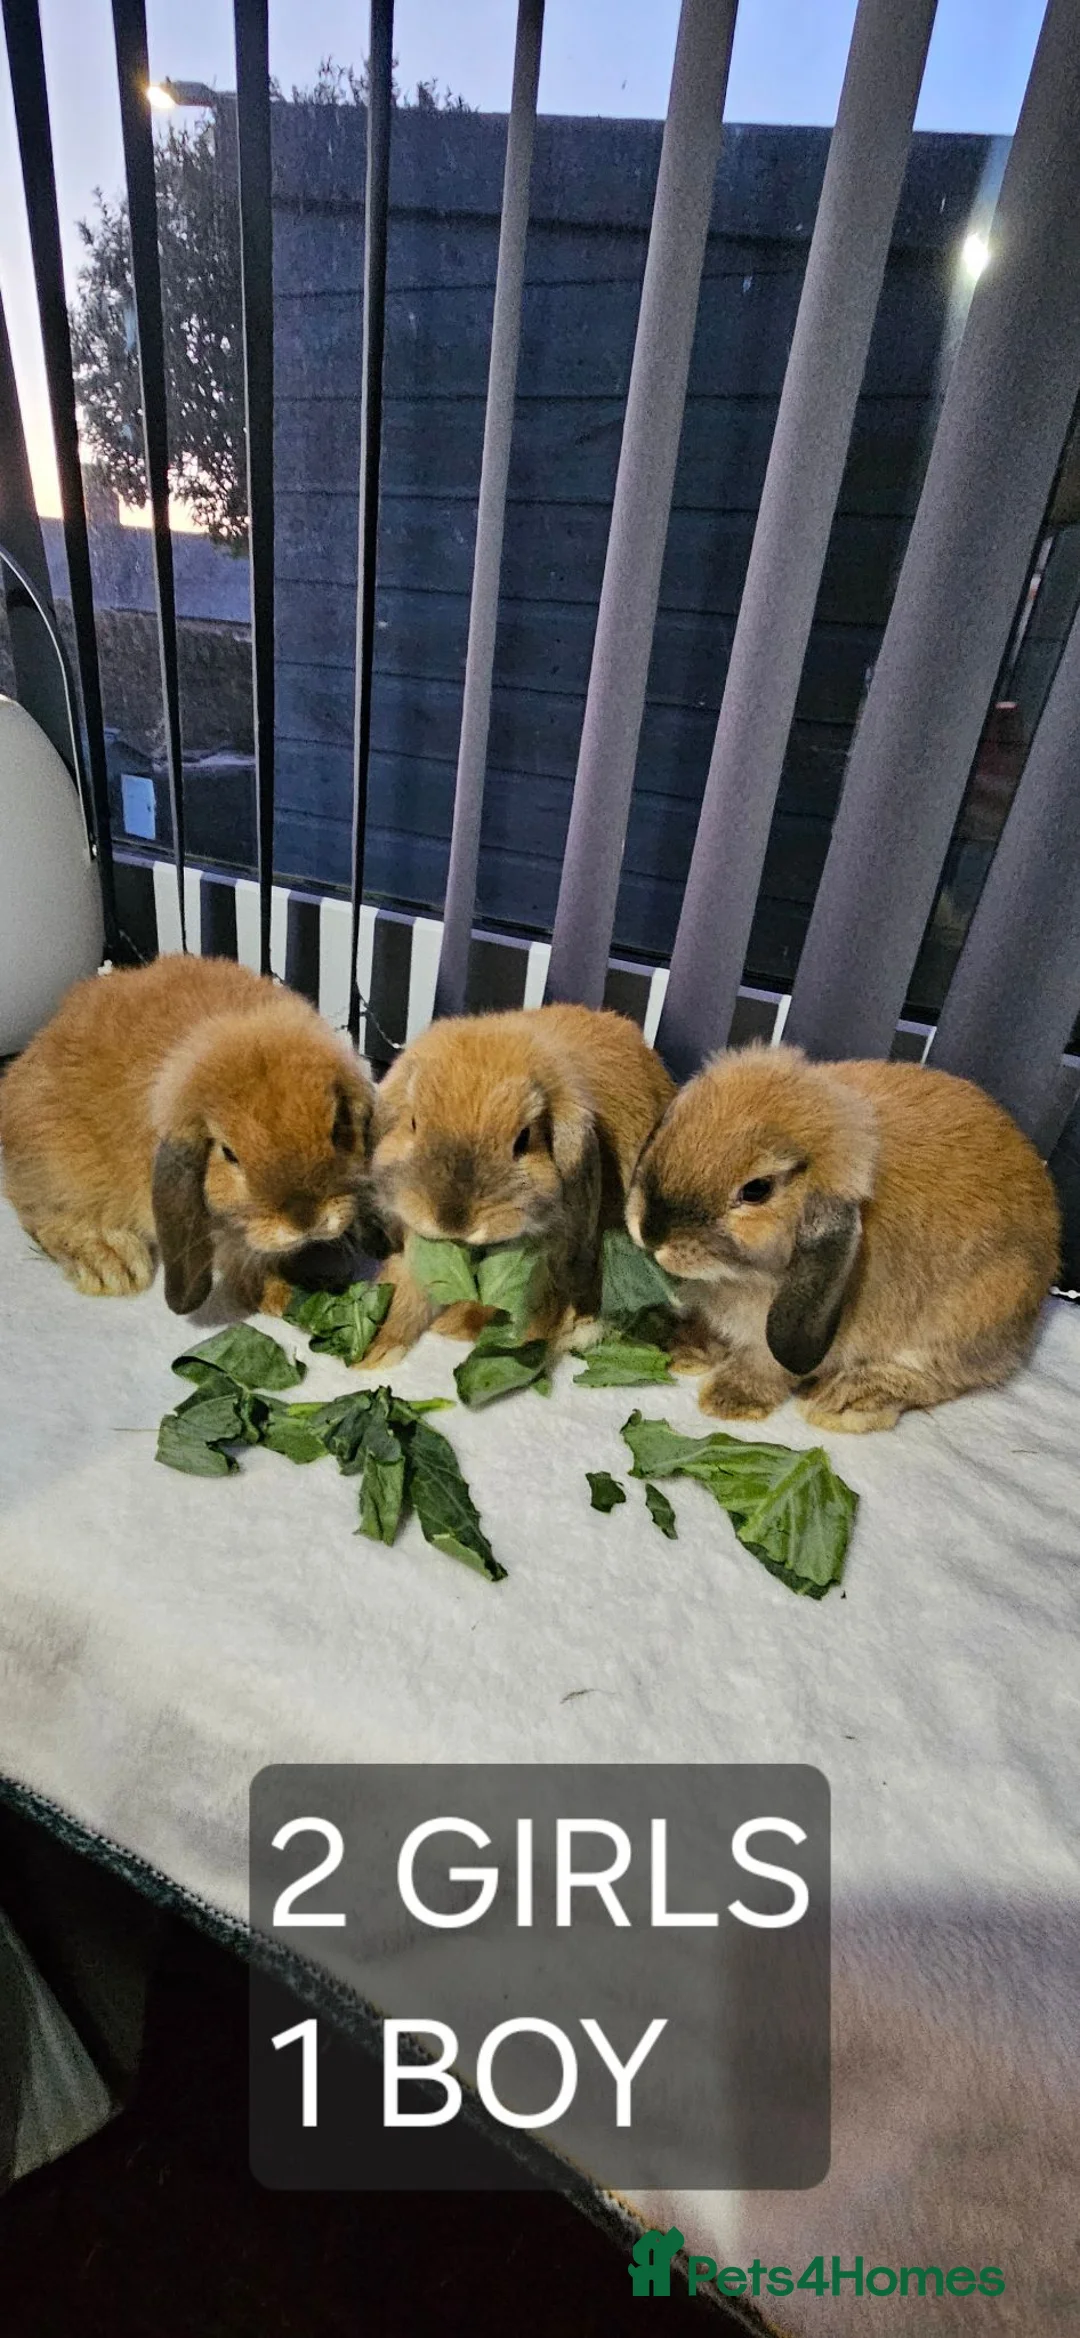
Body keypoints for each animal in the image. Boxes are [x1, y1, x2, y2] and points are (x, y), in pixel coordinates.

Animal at [0, 953, 380, 1316]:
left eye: (336, 1128)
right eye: (228, 1153)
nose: (306, 1221)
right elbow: (239, 1255)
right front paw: (277, 1295)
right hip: (61, 1172)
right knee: (41, 1216)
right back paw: (112, 1263)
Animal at [625, 1042, 1061, 1433]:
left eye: (757, 1190)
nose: (650, 1231)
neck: (742, 1278)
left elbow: (768, 1366)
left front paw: (731, 1399)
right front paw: (684, 1348)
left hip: (968, 1318)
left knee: (935, 1379)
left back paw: (846, 1400)